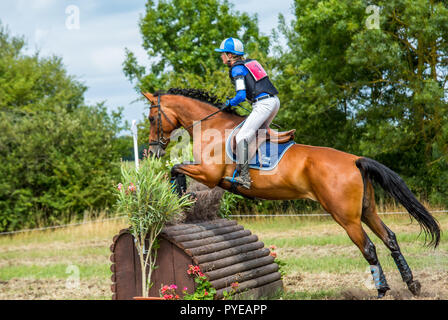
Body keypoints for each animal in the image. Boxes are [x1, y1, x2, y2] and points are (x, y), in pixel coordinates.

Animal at [144, 87, 440, 298]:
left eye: (151, 117)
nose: (152, 151)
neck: (211, 127)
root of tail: (355, 159)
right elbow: (176, 169)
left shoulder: (209, 174)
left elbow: (175, 169)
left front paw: (180, 195)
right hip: (367, 211)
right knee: (390, 239)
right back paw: (412, 285)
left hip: (346, 217)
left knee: (368, 247)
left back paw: (381, 290)